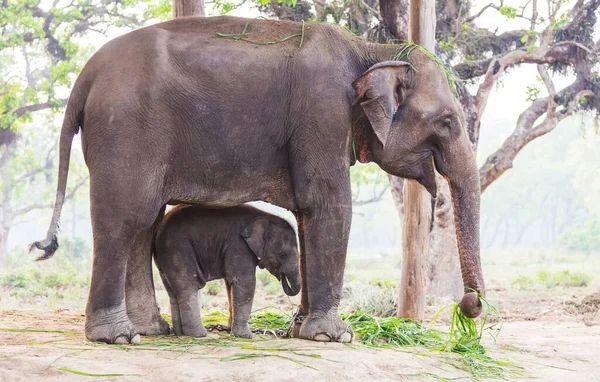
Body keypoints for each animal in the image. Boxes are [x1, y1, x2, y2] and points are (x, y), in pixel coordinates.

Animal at [152, 204, 298, 338]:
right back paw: (199, 334)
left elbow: (230, 284)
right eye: (283, 255)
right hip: (178, 251)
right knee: (189, 286)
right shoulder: (238, 245)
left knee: (172, 292)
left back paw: (180, 333)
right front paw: (246, 336)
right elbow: (245, 282)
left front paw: (233, 331)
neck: (266, 216)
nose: (282, 277)